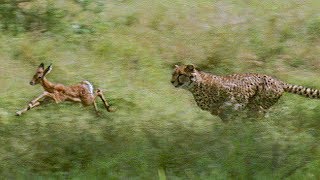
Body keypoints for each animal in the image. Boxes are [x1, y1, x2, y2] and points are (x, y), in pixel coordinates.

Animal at [171, 64, 320, 121]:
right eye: (173, 74)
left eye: (180, 75)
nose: (172, 82)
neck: (195, 86)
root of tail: (279, 81)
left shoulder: (238, 99)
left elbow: (229, 108)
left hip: (258, 104)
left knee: (260, 115)